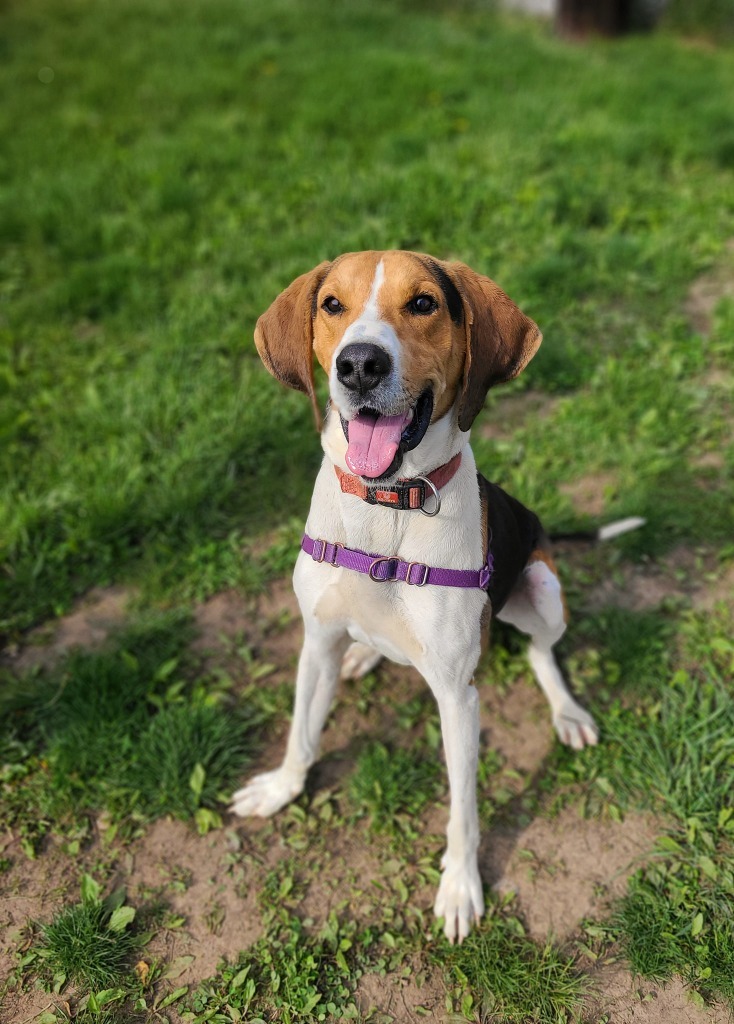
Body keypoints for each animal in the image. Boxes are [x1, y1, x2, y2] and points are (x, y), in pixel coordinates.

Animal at [230, 249, 630, 942]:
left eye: (423, 303)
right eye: (331, 304)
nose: (359, 364)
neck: (387, 506)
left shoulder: (458, 697)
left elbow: (463, 812)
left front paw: (461, 887)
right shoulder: (317, 641)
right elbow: (301, 735)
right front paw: (282, 788)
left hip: (543, 586)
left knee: (541, 652)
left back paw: (567, 712)